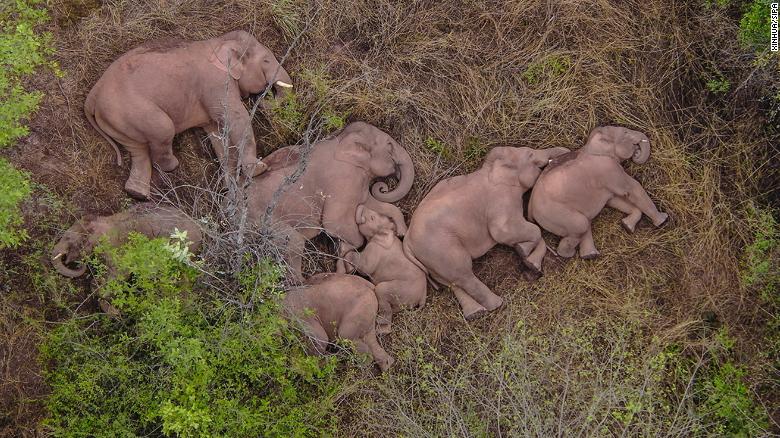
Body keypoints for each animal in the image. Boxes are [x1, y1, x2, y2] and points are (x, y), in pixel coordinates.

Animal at [85, 30, 294, 200]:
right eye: (266, 61)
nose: (264, 99)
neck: (219, 41)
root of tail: (92, 96)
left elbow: (217, 132)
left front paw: (230, 187)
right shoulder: (216, 82)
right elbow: (236, 117)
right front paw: (259, 169)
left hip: (118, 121)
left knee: (138, 150)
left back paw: (137, 194)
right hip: (132, 110)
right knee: (163, 130)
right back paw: (172, 166)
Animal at [247, 121, 414, 279]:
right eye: (390, 146)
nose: (383, 187)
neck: (340, 139)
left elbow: (369, 203)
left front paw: (400, 231)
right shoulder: (344, 178)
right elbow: (334, 223)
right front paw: (346, 260)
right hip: (263, 219)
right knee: (295, 242)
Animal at [339, 205, 427, 334]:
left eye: (372, 218)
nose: (362, 205)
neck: (386, 232)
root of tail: (423, 295)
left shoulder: (375, 249)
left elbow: (365, 267)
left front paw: (348, 266)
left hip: (401, 289)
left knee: (381, 290)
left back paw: (381, 328)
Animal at [403, 146, 570, 320]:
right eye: (530, 154)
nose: (565, 152)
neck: (490, 168)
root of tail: (407, 242)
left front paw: (528, 259)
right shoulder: (501, 199)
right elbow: (506, 232)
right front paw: (523, 251)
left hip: (431, 260)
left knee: (452, 282)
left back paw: (476, 313)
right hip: (440, 249)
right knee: (463, 274)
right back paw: (497, 304)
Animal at [528, 126, 668, 259]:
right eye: (625, 132)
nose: (637, 152)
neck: (590, 145)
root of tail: (530, 209)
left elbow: (614, 200)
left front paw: (627, 226)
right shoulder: (609, 168)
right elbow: (633, 188)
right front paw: (663, 220)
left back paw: (590, 255)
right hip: (554, 213)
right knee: (581, 224)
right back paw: (569, 254)